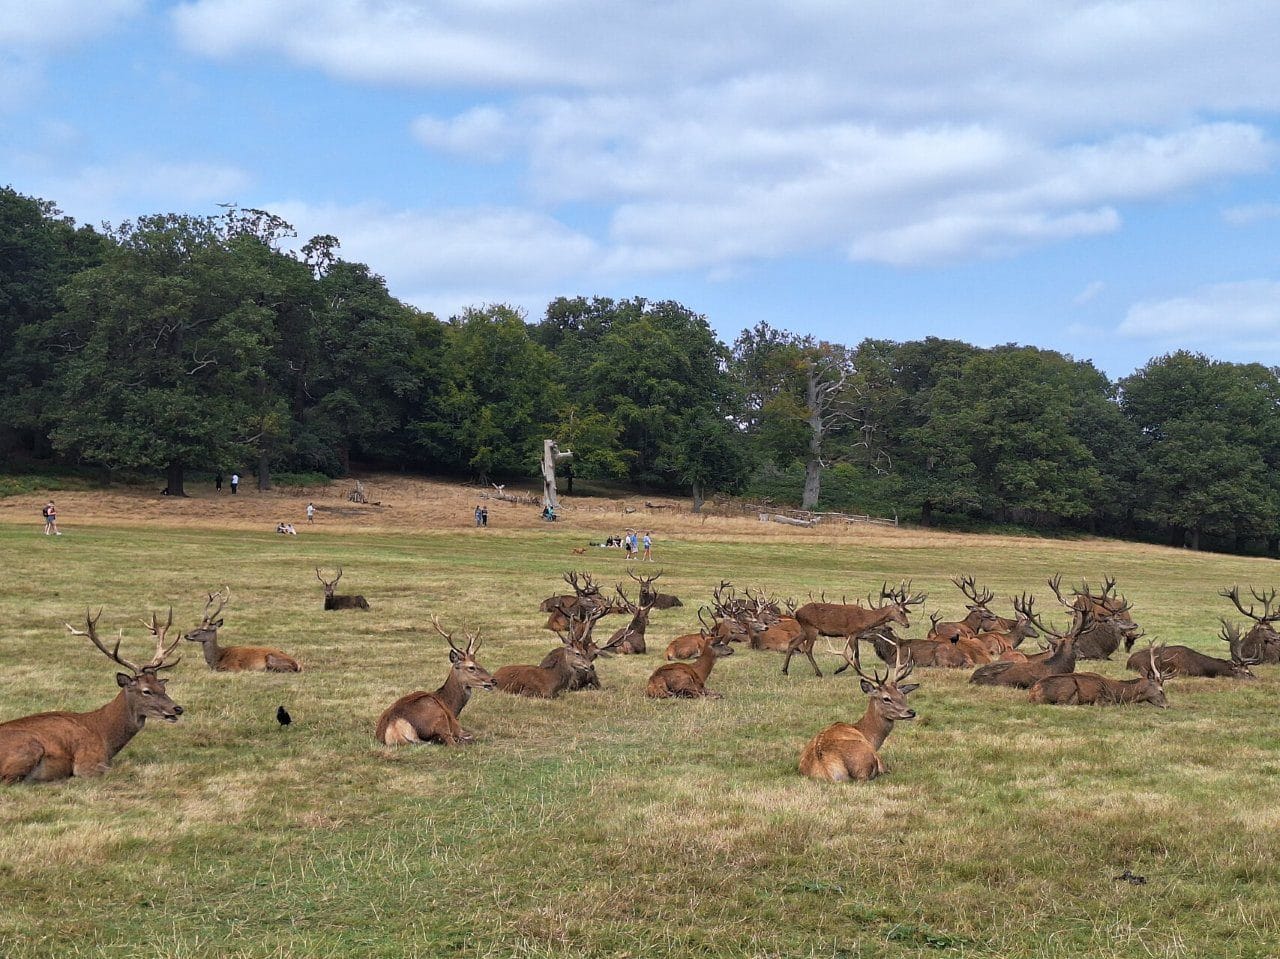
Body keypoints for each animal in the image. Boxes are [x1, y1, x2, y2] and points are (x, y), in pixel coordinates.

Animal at [1, 609, 183, 784]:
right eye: (146, 690)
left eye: (163, 686)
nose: (178, 708)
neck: (104, 736)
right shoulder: (86, 762)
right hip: (30, 746)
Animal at [376, 616, 494, 745]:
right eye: (471, 667)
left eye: (479, 663)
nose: (493, 680)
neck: (451, 707)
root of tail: (394, 727)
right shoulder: (455, 725)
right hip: (437, 715)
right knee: (451, 742)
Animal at [788, 582, 927, 677]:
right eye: (901, 611)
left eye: (905, 611)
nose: (907, 624)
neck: (864, 619)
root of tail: (797, 612)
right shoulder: (850, 633)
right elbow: (855, 654)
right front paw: (858, 672)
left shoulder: (856, 635)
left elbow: (856, 653)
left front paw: (853, 670)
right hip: (812, 628)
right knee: (807, 649)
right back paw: (818, 672)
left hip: (804, 629)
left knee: (792, 643)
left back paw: (785, 670)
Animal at [798, 640, 919, 782]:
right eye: (886, 698)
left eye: (902, 696)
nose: (911, 712)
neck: (867, 733)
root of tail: (827, 769)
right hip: (867, 759)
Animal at [1029, 644, 1167, 707]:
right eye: (1161, 691)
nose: (1167, 705)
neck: (1118, 693)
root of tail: (1032, 693)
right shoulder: (1103, 699)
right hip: (1068, 685)